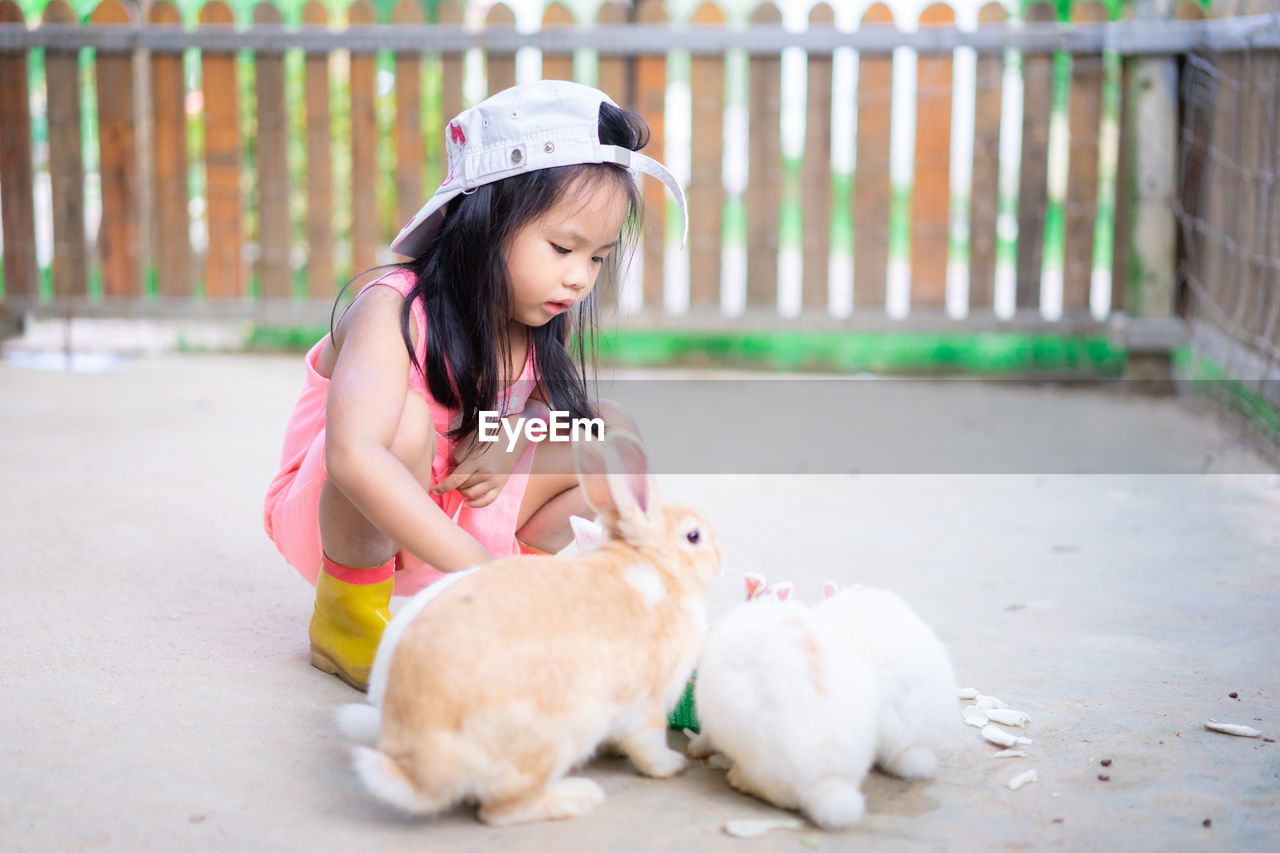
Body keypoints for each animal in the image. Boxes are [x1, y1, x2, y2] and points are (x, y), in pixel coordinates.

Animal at [337, 427, 721, 819]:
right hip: (554, 737)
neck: (655, 571)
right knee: (502, 809)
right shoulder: (647, 701)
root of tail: (420, 772)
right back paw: (578, 795)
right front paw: (672, 765)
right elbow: (648, 744)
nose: (720, 558)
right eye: (694, 536)